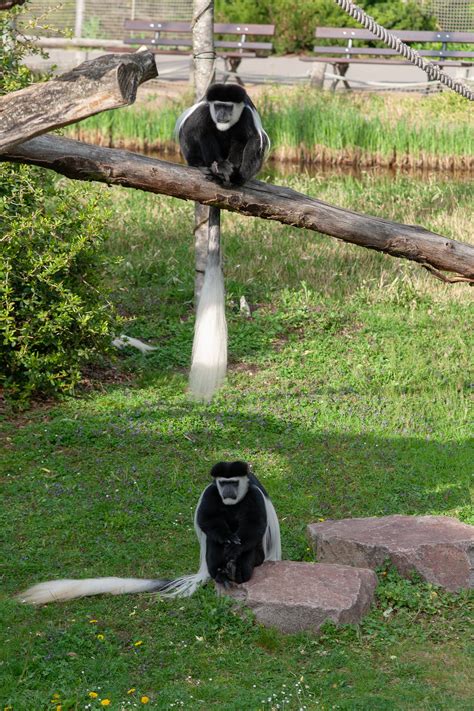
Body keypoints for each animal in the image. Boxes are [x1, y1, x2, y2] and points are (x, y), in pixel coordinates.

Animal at [16, 462, 280, 608]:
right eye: (224, 483)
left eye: (233, 482)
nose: (228, 491)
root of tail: (205, 571)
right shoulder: (210, 492)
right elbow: (206, 521)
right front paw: (227, 540)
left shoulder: (253, 495)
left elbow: (255, 526)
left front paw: (235, 546)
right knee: (214, 542)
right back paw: (222, 574)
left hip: (257, 558)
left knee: (248, 552)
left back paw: (237, 571)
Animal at [175, 83, 270, 400]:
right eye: (219, 106)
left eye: (229, 107)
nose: (223, 114)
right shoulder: (205, 111)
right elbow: (194, 128)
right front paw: (208, 166)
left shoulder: (248, 116)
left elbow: (253, 141)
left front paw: (238, 175)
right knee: (202, 132)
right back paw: (213, 170)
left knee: (244, 141)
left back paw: (230, 173)